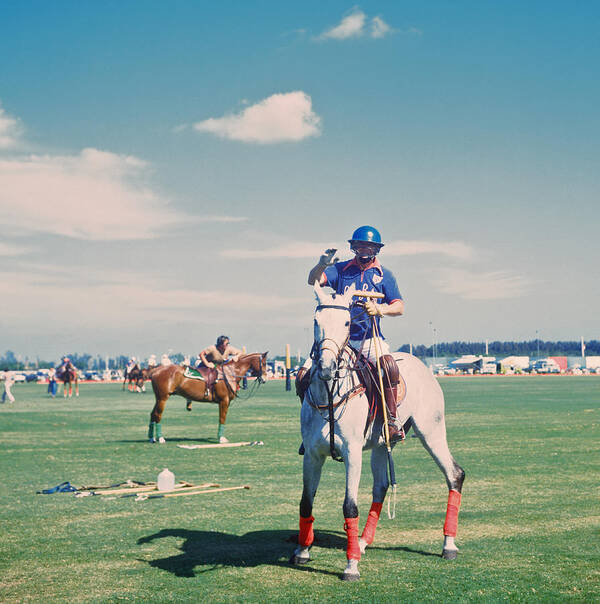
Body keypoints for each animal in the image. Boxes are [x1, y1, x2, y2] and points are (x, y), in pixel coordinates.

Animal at [290, 286, 464, 584]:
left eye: (347, 322)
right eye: (316, 321)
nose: (325, 367)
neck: (330, 394)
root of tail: (421, 364)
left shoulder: (352, 452)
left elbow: (349, 506)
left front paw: (351, 567)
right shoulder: (312, 455)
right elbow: (306, 502)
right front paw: (302, 551)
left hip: (431, 430)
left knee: (454, 473)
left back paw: (448, 545)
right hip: (383, 443)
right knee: (381, 486)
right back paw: (361, 542)